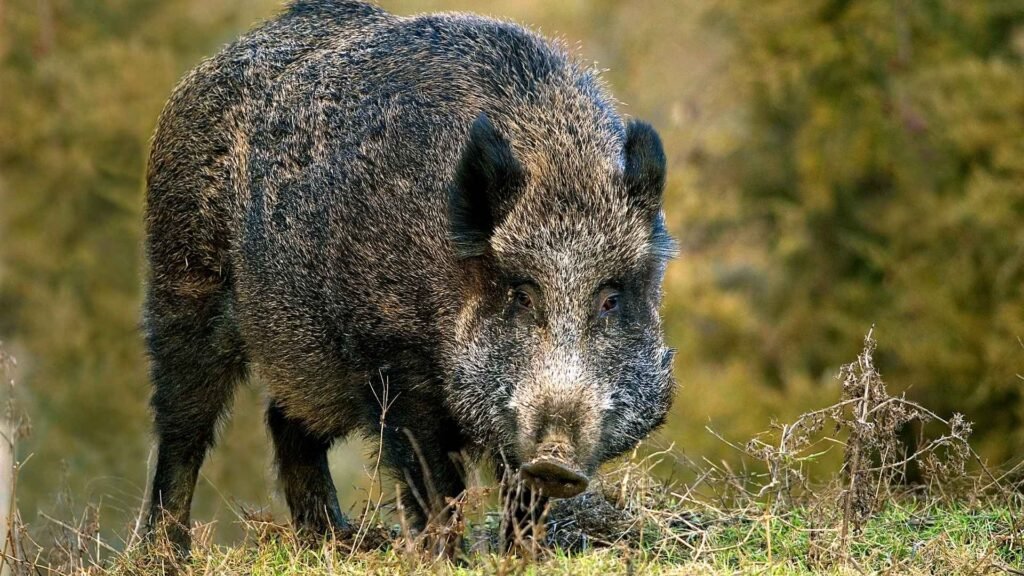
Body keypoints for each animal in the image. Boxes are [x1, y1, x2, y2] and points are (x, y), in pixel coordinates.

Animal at [143, 0, 676, 551]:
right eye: (522, 296)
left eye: (611, 299)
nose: (556, 460)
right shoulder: (391, 357)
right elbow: (433, 480)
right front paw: (446, 555)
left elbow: (520, 496)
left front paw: (524, 554)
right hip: (183, 277)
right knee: (184, 421)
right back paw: (167, 552)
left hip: (306, 349)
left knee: (286, 419)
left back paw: (332, 540)